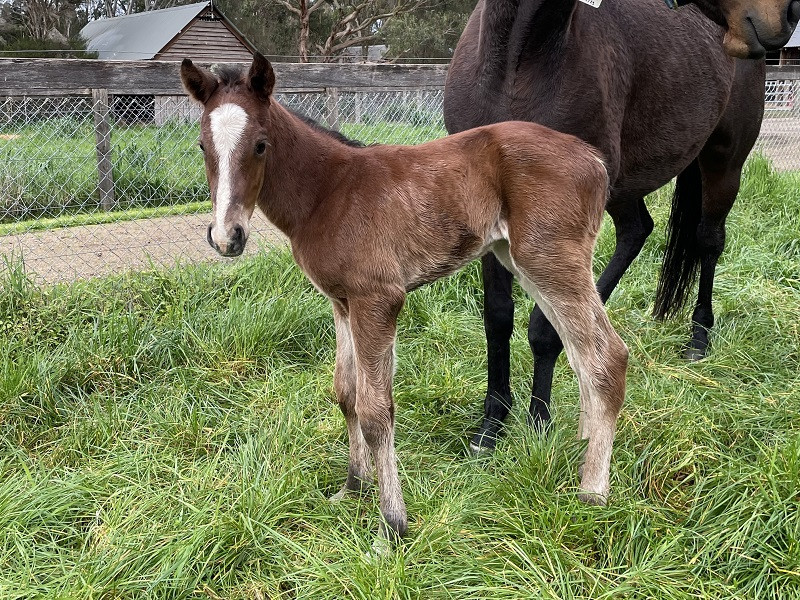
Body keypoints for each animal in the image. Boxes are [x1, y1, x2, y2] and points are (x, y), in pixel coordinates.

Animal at [183, 54, 632, 548]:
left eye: (261, 145)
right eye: (202, 146)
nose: (227, 238)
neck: (328, 192)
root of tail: (594, 159)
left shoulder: (378, 298)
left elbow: (376, 411)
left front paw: (391, 524)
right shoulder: (342, 303)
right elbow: (346, 393)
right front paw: (351, 487)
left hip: (550, 260)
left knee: (607, 356)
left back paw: (592, 493)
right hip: (522, 260)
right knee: (579, 354)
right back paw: (580, 455)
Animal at [446, 0, 764, 450]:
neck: (521, 61)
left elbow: (546, 323)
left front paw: (539, 425)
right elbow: (497, 316)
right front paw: (491, 425)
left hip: (723, 163)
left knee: (708, 240)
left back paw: (699, 338)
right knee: (637, 230)